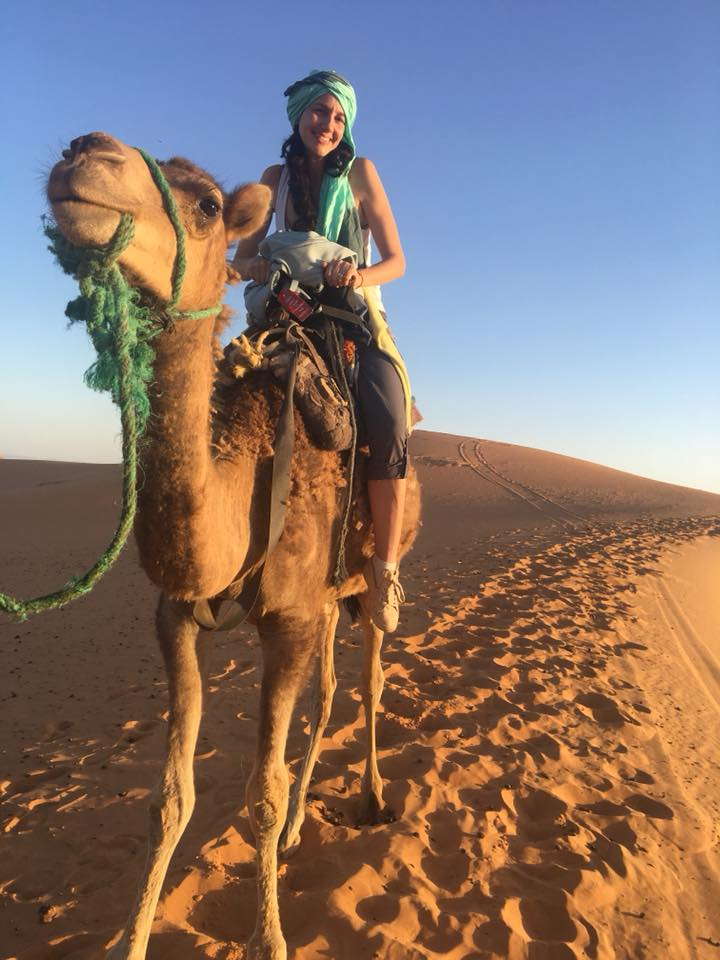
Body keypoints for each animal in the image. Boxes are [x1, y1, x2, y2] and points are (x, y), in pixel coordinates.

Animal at [46, 133, 422, 960]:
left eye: (210, 204)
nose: (85, 154)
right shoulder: (180, 619)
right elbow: (171, 797)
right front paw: (131, 939)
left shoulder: (287, 621)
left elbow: (260, 791)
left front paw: (270, 938)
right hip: (325, 601)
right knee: (328, 693)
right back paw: (300, 830)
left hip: (369, 571)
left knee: (370, 676)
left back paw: (372, 795)